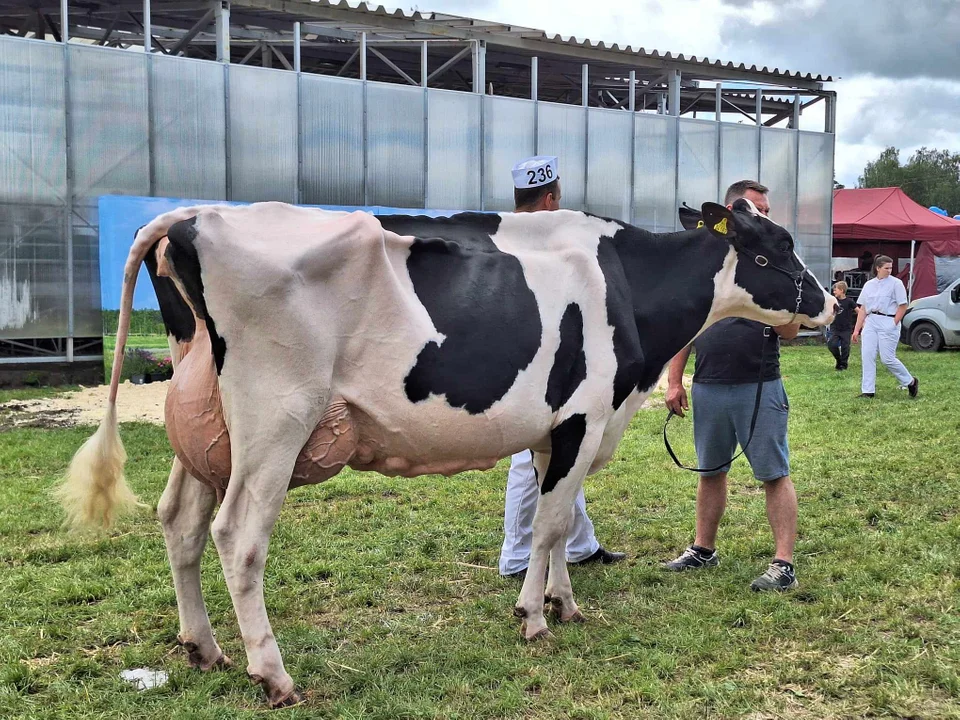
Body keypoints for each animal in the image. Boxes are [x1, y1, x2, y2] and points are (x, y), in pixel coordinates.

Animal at [63, 198, 836, 708]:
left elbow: (558, 520)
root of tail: (192, 215)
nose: (832, 303)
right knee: (236, 536)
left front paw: (562, 602)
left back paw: (203, 648)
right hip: (274, 418)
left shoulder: (559, 430)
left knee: (180, 523)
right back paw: (273, 675)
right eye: (771, 250)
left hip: (205, 430)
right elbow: (548, 525)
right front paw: (534, 619)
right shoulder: (584, 416)